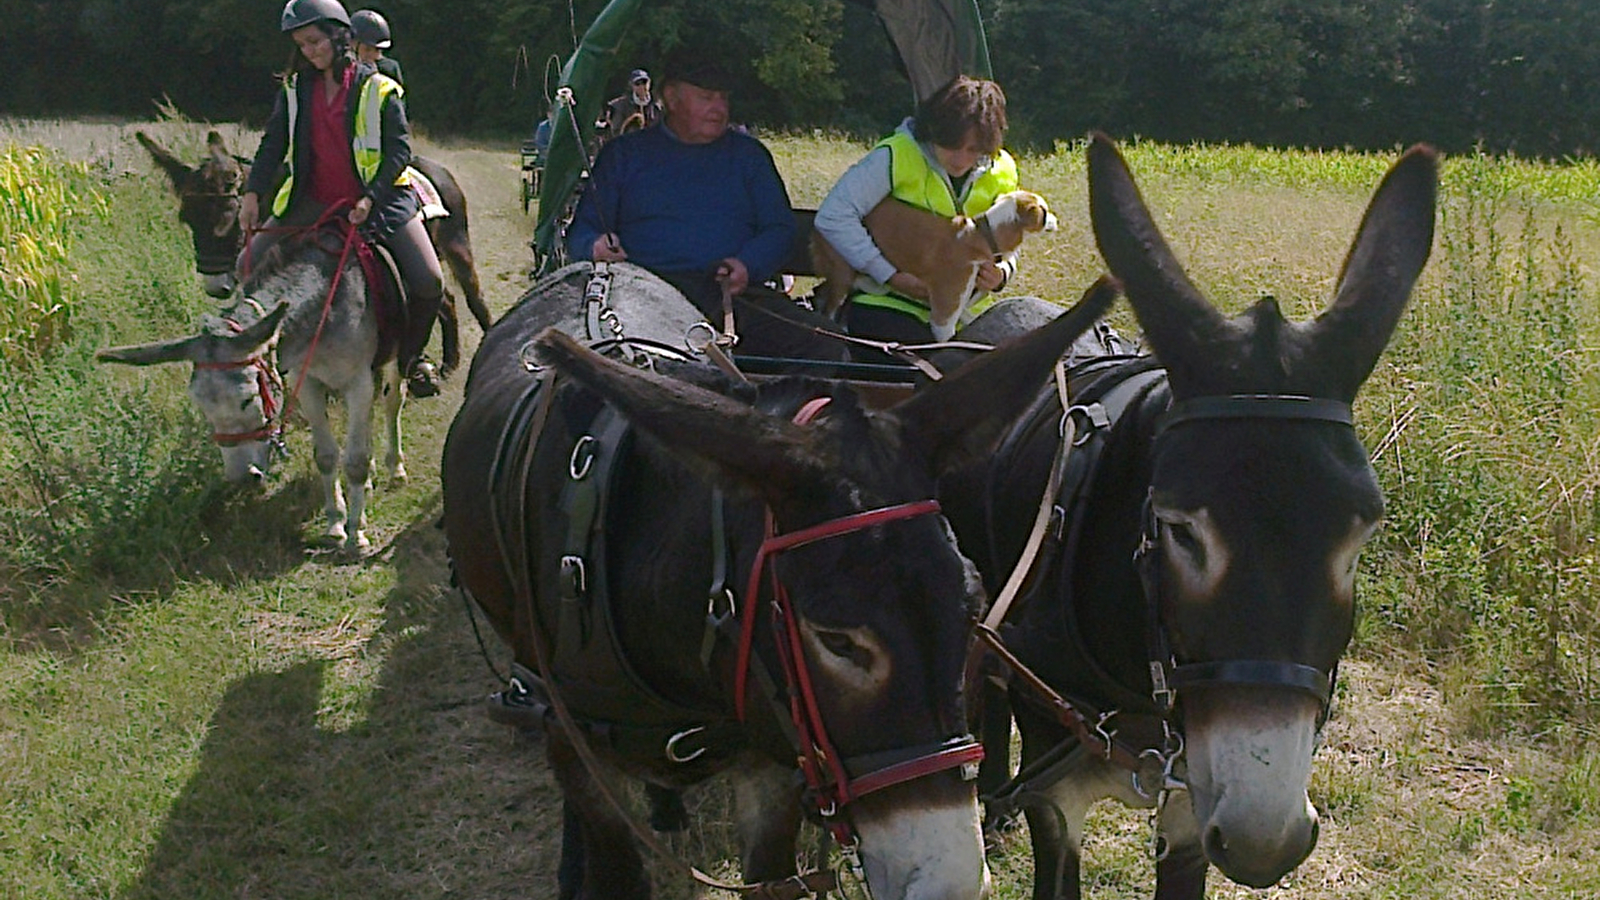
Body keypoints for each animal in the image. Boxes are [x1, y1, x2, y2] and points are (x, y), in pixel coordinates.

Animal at [812, 188, 1062, 339]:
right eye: (1044, 211)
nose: (1057, 220)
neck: (983, 235)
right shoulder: (943, 317)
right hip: (843, 275)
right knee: (829, 307)